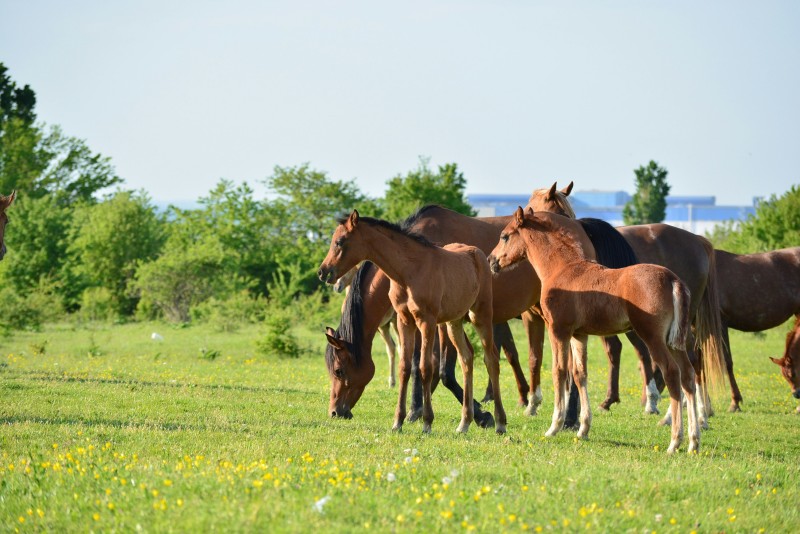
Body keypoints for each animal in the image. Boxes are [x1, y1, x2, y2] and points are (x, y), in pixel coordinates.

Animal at [318, 210, 508, 434]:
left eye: (339, 241)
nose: (323, 272)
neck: (409, 271)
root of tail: (478, 254)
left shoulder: (427, 321)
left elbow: (425, 367)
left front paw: (426, 421)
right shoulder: (404, 321)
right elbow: (405, 367)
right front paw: (398, 422)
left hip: (480, 315)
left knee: (491, 360)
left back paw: (500, 422)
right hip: (453, 323)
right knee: (466, 359)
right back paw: (465, 423)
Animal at [489, 207, 705, 453]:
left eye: (505, 236)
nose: (491, 261)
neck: (562, 269)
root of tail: (672, 280)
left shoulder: (558, 331)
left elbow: (559, 371)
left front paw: (554, 426)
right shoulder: (579, 335)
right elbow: (579, 374)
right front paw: (583, 429)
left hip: (653, 337)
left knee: (671, 373)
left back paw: (675, 440)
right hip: (675, 340)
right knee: (688, 375)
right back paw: (693, 441)